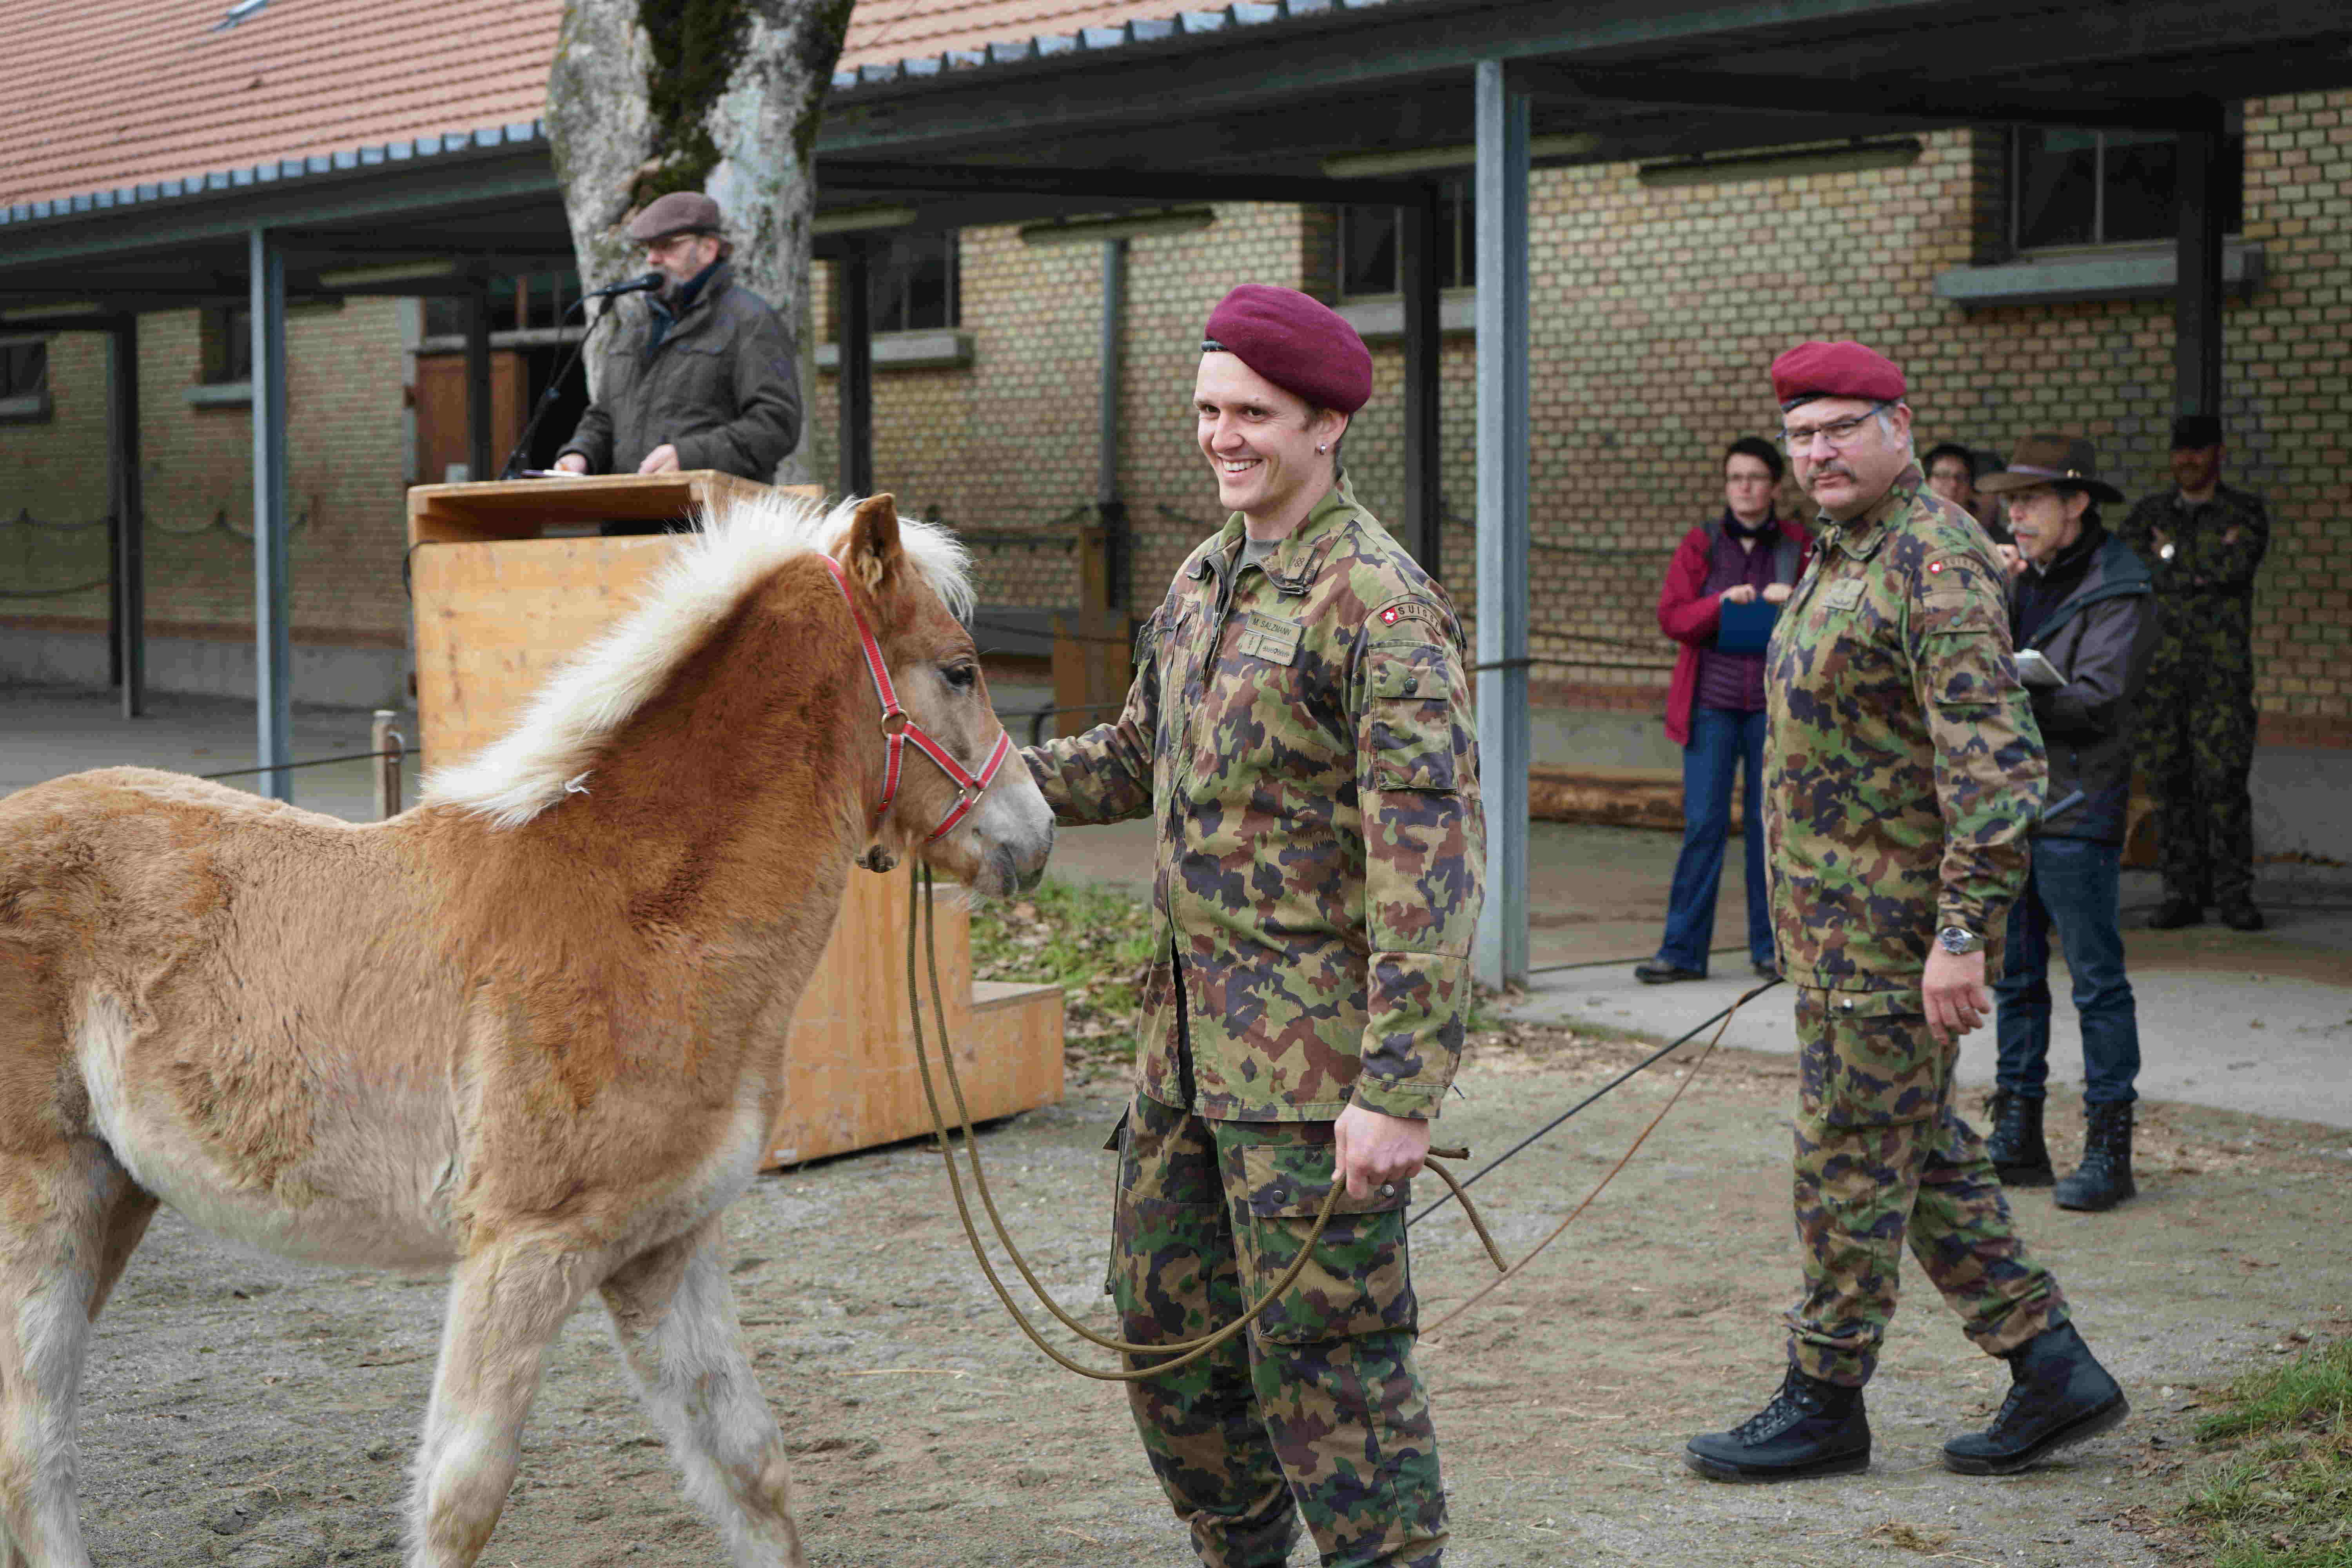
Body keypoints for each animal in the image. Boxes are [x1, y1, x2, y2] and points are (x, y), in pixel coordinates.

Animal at [0, 491, 1055, 1568]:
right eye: (960, 669)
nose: (1037, 832)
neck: (640, 914)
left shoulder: (665, 1248)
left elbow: (752, 1473)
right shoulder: (523, 1249)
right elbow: (462, 1495)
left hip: (115, 1193)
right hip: (44, 1198)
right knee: (30, 1448)